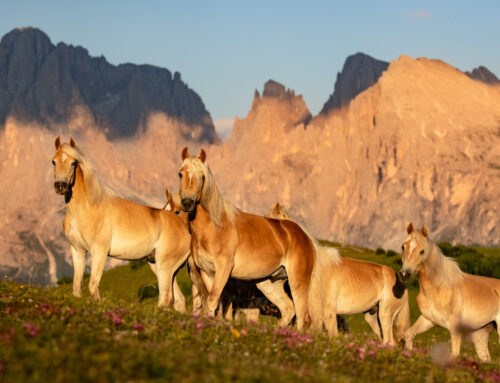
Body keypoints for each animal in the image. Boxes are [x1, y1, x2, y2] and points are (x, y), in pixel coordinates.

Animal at [51, 136, 190, 310]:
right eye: (53, 161)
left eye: (73, 163)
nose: (60, 186)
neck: (88, 208)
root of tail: (185, 230)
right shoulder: (78, 250)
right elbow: (77, 287)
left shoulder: (99, 251)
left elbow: (93, 287)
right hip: (162, 267)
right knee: (179, 300)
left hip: (165, 267)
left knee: (165, 297)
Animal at [176, 148, 316, 330]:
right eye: (180, 174)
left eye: (202, 175)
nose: (187, 202)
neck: (215, 228)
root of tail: (305, 236)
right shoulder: (207, 272)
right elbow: (213, 303)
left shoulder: (223, 269)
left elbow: (213, 300)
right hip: (269, 282)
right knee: (288, 310)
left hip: (298, 282)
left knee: (301, 317)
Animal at [268, 202, 408, 344]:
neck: (316, 266)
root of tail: (400, 281)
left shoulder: (328, 312)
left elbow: (332, 335)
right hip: (373, 317)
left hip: (385, 314)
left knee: (389, 342)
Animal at [400, 224, 500, 362]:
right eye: (403, 247)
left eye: (422, 251)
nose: (405, 274)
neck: (439, 289)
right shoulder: (428, 319)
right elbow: (408, 335)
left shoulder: (455, 329)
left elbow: (454, 354)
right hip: (481, 334)